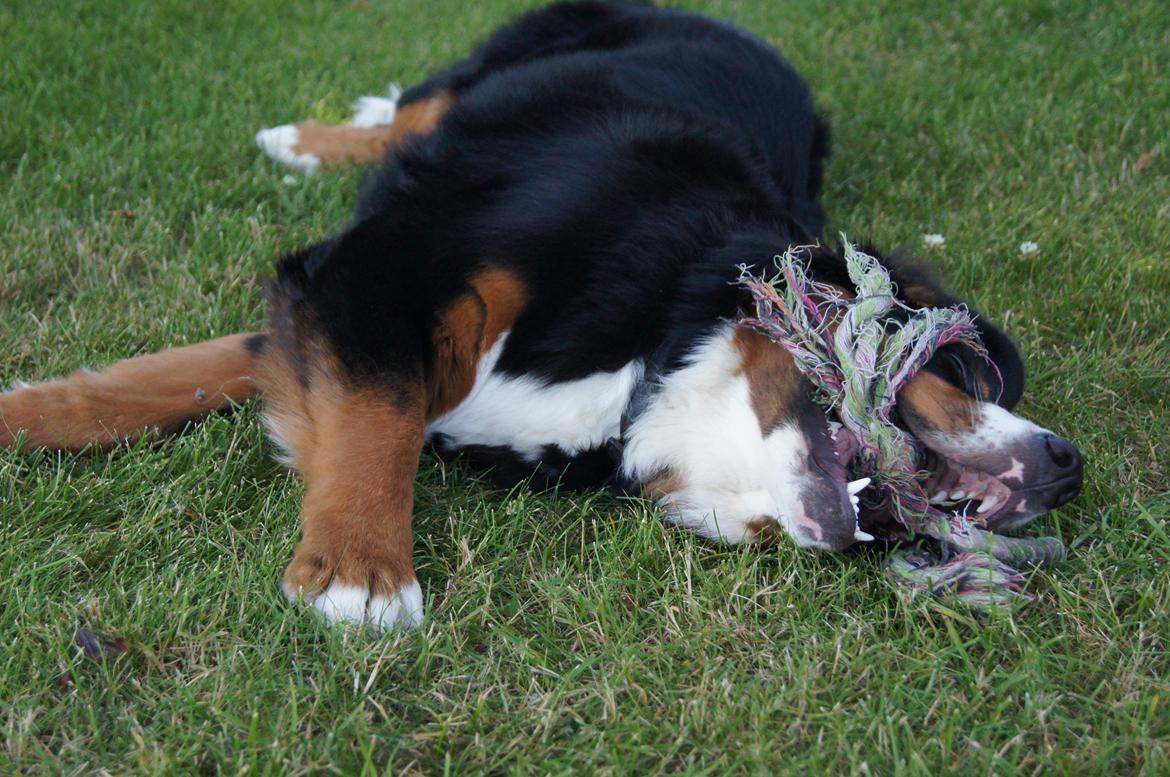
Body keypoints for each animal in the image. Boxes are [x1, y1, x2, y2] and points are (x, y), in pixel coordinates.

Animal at [0, 1, 1081, 631]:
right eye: (960, 366)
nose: (1067, 465)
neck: (652, 357)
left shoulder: (345, 307)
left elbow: (189, 374)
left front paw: (30, 413)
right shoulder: (380, 269)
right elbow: (379, 412)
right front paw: (362, 570)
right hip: (486, 77)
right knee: (409, 113)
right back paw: (302, 140)